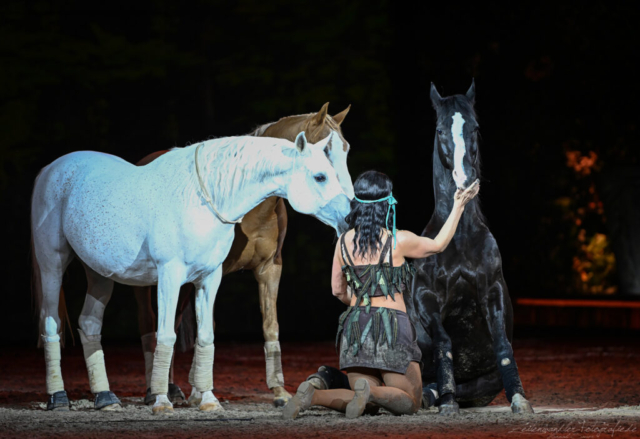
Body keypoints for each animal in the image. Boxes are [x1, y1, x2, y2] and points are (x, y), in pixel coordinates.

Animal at [31, 132, 350, 414]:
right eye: (320, 177)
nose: (350, 217)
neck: (199, 199)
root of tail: (48, 170)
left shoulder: (209, 278)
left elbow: (205, 335)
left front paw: (208, 400)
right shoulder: (170, 276)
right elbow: (165, 336)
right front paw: (162, 402)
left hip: (99, 272)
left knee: (89, 324)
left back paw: (106, 398)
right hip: (52, 265)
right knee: (50, 321)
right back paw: (58, 397)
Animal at [133, 102, 352, 406]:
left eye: (346, 149)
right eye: (326, 152)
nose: (350, 205)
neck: (254, 208)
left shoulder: (270, 269)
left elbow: (270, 326)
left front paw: (279, 391)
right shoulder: (212, 272)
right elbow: (207, 324)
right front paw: (201, 392)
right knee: (148, 324)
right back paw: (154, 390)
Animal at [410, 81, 536, 416]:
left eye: (475, 128)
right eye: (441, 130)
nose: (465, 181)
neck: (459, 238)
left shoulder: (492, 290)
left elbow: (503, 345)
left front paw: (520, 399)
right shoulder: (426, 297)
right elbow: (444, 342)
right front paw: (448, 402)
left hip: (485, 384)